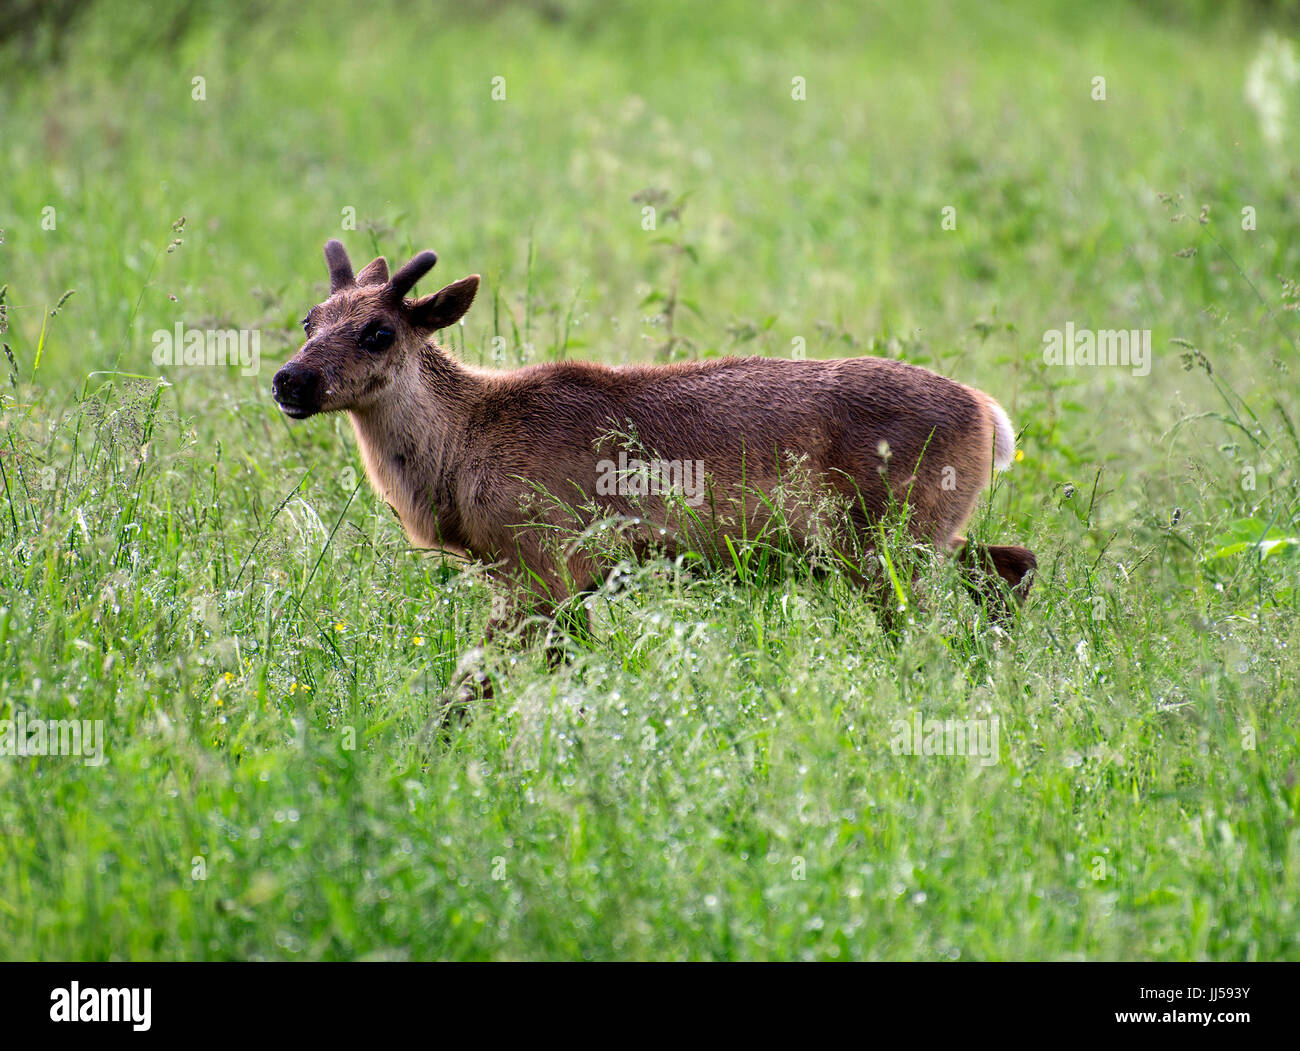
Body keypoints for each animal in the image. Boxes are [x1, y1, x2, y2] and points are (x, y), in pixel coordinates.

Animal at [271, 244, 1034, 697]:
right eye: (310, 320)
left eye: (380, 331)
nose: (290, 380)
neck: (462, 451)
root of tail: (989, 414)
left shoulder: (544, 560)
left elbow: (487, 683)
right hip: (911, 536)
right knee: (1011, 562)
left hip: (890, 539)